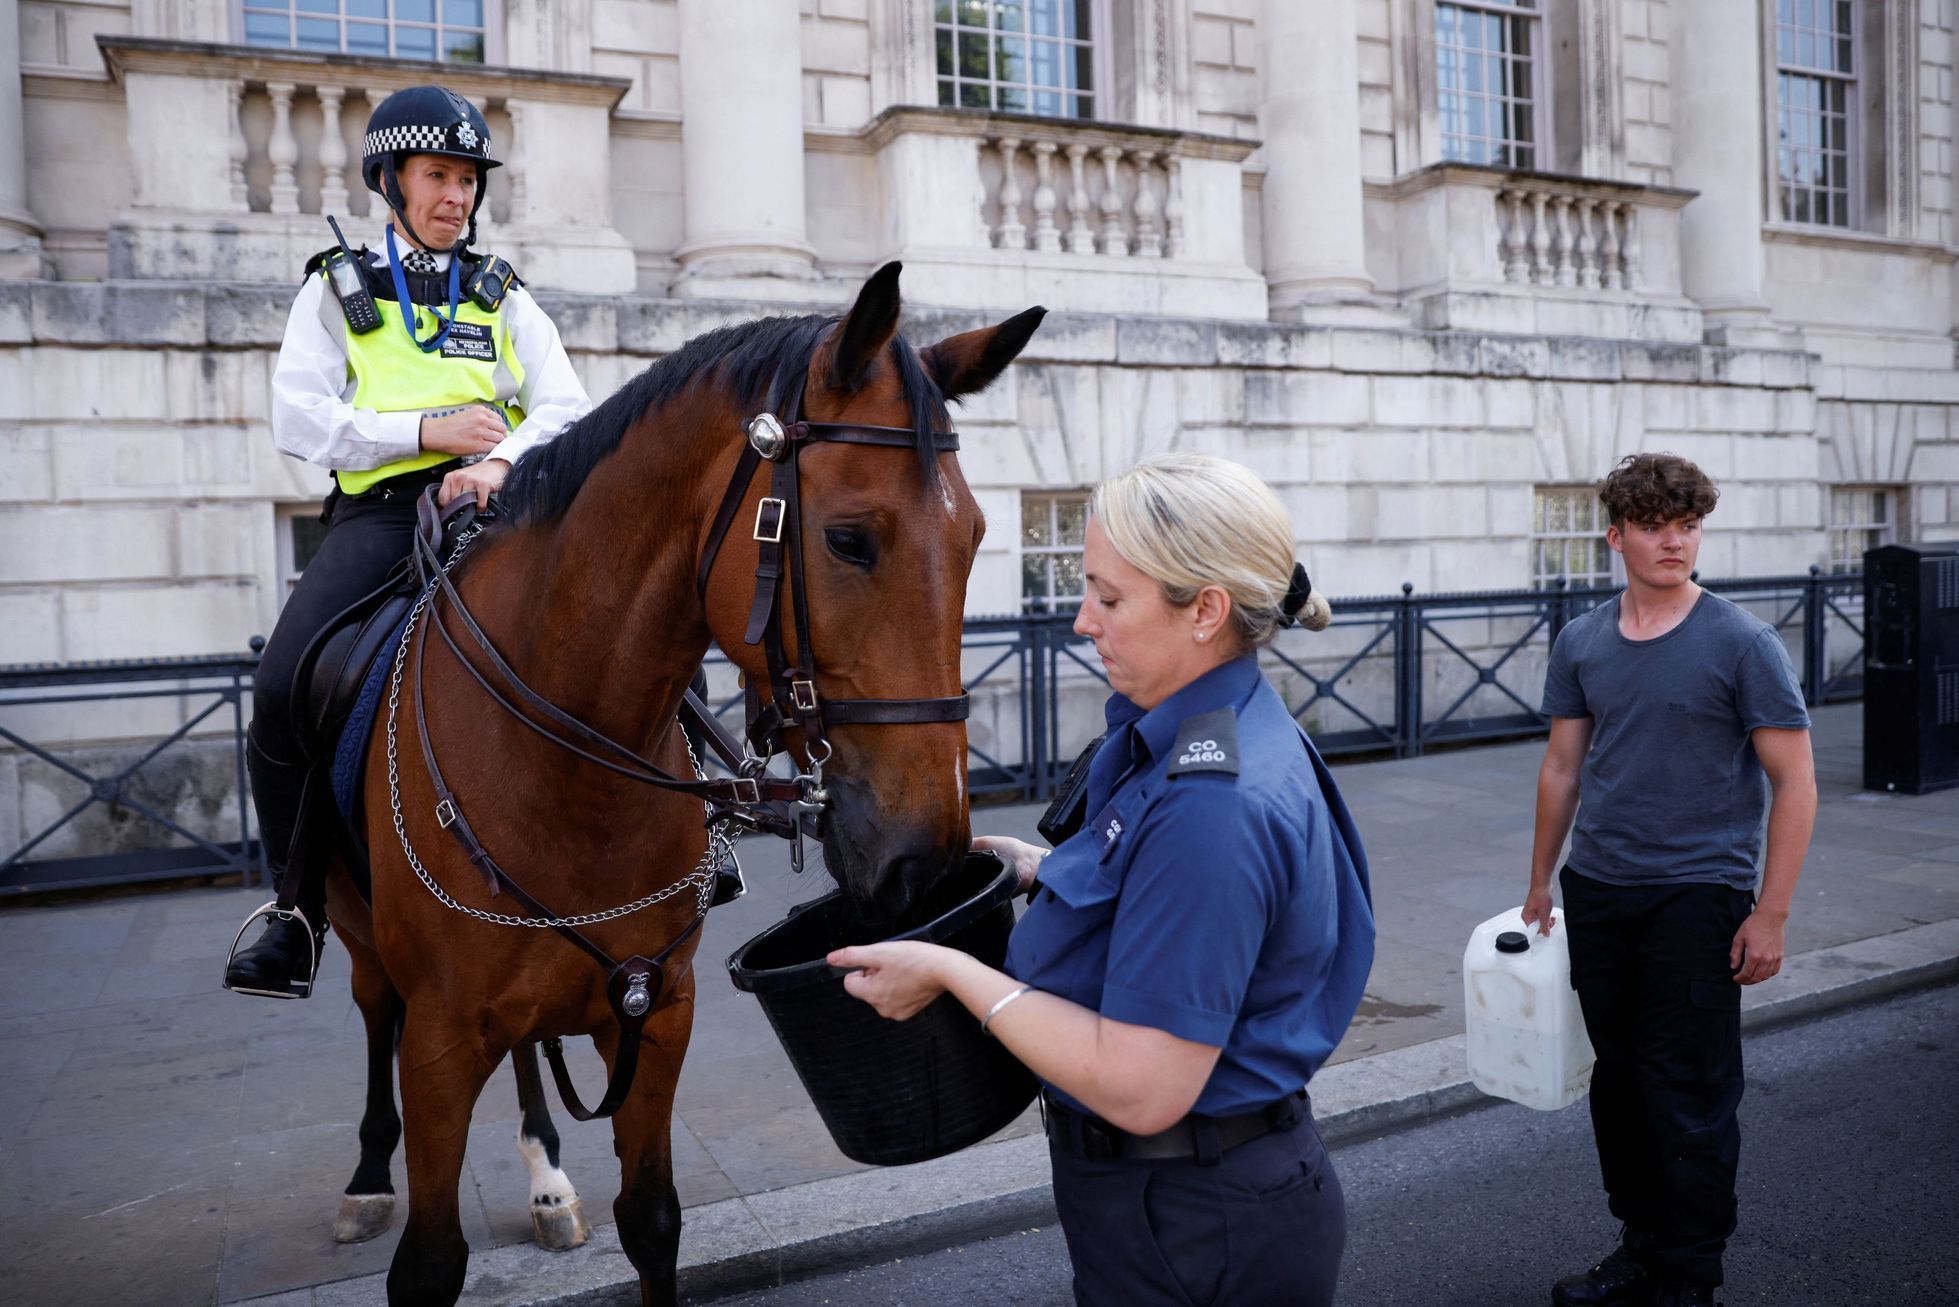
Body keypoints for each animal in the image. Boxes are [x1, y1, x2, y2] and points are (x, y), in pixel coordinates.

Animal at [319, 266, 1050, 1307]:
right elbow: (428, 1263)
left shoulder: (656, 1009)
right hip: (358, 937)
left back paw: (546, 1177)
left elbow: (652, 1218)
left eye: (979, 535)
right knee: (373, 1009)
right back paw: (370, 1176)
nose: (927, 859)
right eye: (849, 541)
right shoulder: (440, 1041)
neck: (564, 773)